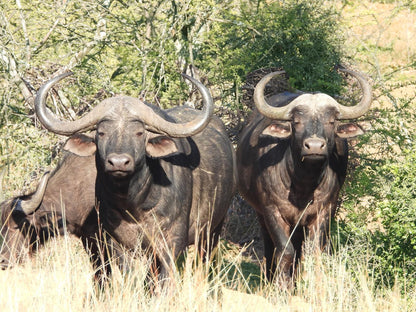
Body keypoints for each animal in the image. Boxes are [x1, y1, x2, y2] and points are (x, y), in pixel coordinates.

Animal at [35, 72, 237, 280]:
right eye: (101, 133)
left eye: (140, 133)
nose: (118, 162)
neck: (134, 204)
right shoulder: (114, 241)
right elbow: (129, 275)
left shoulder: (171, 241)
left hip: (213, 231)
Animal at [236, 68, 372, 286]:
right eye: (296, 122)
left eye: (331, 121)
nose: (314, 146)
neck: (303, 185)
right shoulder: (272, 211)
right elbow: (285, 251)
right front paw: (282, 286)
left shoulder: (324, 211)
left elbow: (315, 252)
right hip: (260, 214)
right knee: (270, 247)